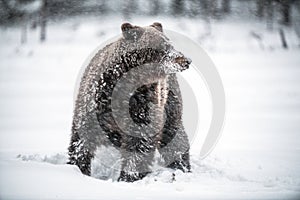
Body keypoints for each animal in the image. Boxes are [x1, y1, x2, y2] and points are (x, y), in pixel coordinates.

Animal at [67, 22, 191, 182]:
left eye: (170, 43)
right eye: (164, 45)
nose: (186, 60)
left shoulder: (143, 105)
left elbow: (139, 143)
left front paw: (128, 176)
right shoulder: (96, 104)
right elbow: (82, 139)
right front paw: (78, 168)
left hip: (169, 104)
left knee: (174, 138)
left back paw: (181, 167)